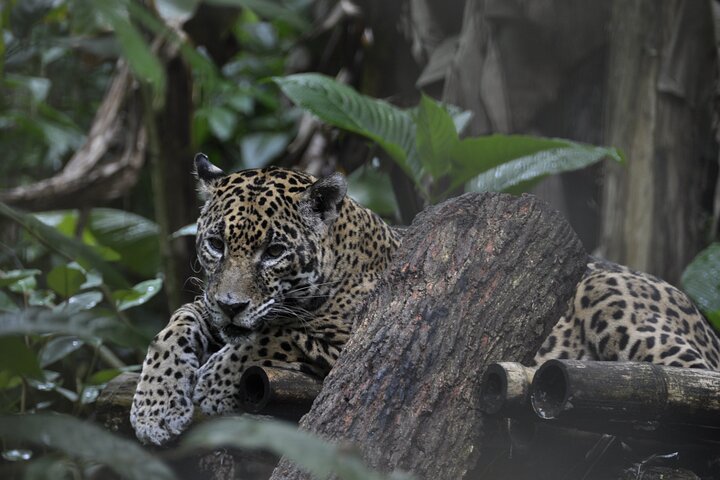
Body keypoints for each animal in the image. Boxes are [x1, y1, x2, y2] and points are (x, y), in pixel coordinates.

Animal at [131, 153, 720, 446]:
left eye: (274, 252)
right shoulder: (207, 308)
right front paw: (154, 407)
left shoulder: (355, 340)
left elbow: (275, 333)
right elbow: (177, 322)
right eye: (215, 244)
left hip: (622, 313)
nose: (231, 304)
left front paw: (212, 382)